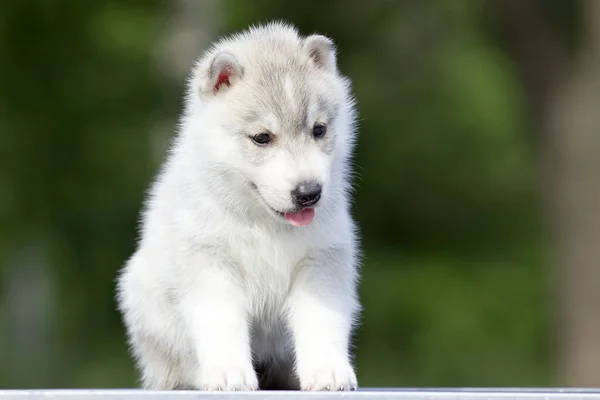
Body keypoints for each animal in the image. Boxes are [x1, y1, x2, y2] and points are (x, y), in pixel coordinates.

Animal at [116, 21, 360, 390]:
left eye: (319, 130)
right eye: (262, 138)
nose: (308, 193)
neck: (266, 225)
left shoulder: (322, 262)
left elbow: (321, 321)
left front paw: (327, 371)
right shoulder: (210, 265)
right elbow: (221, 324)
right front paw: (228, 373)